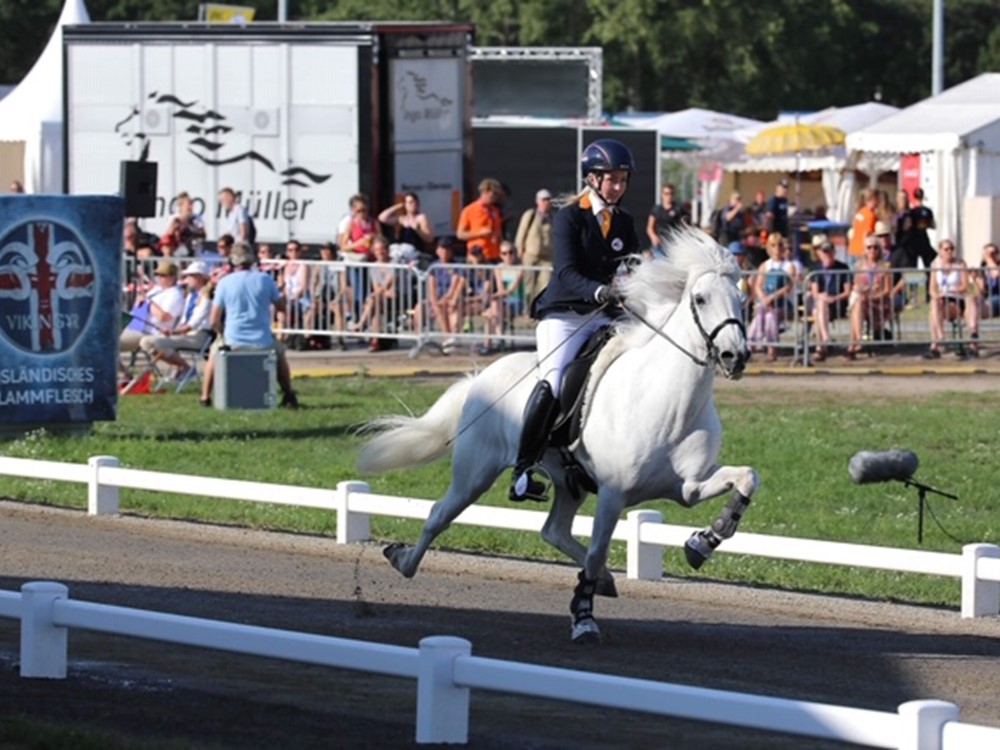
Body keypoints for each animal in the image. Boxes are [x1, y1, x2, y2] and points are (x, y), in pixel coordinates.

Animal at [358, 232, 756, 644]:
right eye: (700, 299)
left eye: (743, 301)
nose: (735, 356)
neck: (668, 401)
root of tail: (478, 379)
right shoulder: (613, 494)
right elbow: (597, 552)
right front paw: (583, 619)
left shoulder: (688, 486)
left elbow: (747, 478)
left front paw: (703, 542)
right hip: (474, 473)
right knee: (439, 514)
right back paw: (402, 560)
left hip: (569, 483)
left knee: (553, 530)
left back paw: (606, 580)